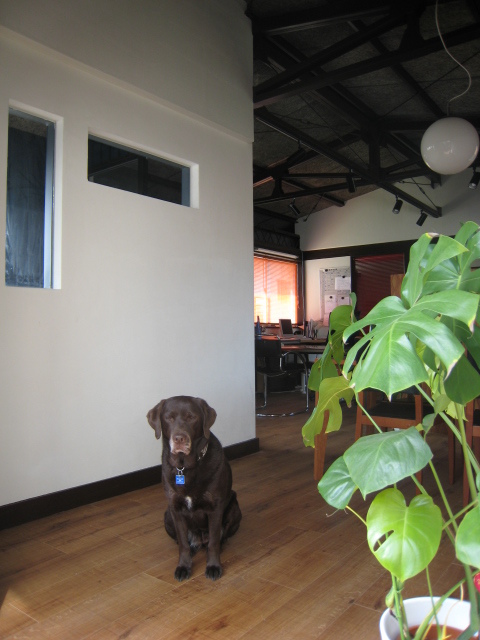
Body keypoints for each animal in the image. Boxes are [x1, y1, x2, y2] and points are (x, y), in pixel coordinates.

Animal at [146, 396, 242, 581]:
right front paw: (183, 566)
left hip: (234, 508)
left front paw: (213, 566)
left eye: (191, 417)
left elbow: (213, 542)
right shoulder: (175, 508)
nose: (179, 438)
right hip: (167, 515)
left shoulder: (215, 508)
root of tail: (199, 539)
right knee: (184, 541)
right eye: (169, 418)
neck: (185, 467)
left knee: (217, 538)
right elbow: (183, 543)